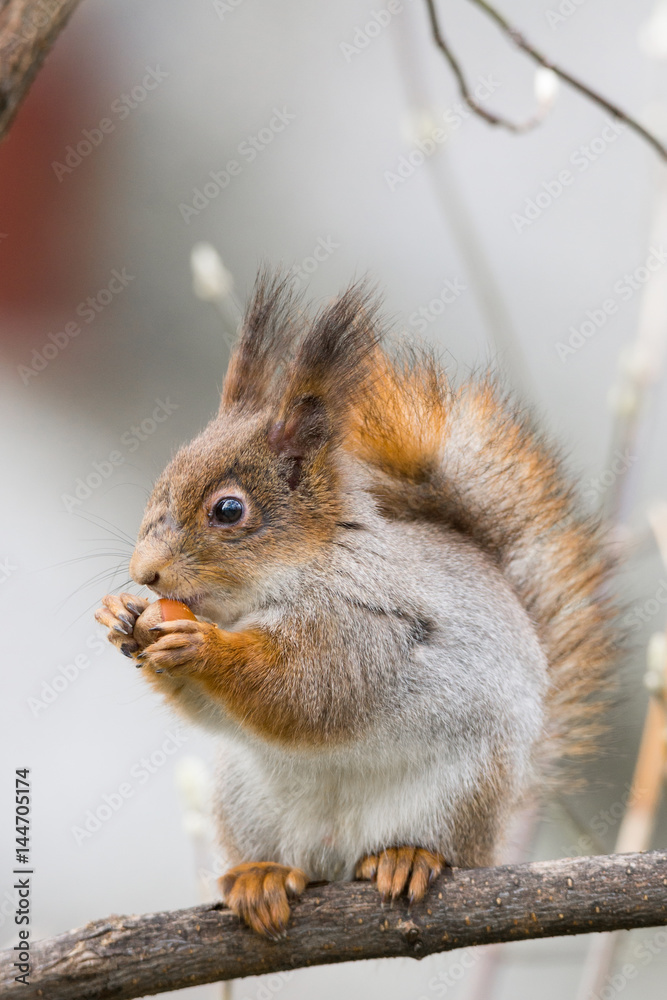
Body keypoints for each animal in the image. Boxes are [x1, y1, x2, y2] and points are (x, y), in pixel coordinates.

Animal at [95, 270, 618, 937]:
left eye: (229, 510)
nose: (145, 573)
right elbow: (213, 709)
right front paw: (121, 618)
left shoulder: (365, 623)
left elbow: (308, 689)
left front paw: (201, 646)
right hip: (247, 800)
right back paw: (262, 877)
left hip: (459, 791)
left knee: (442, 845)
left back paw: (410, 857)